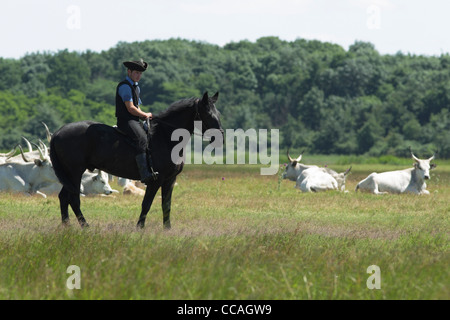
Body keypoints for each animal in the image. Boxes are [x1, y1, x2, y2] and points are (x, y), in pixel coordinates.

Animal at [50, 91, 222, 229]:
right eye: (208, 114)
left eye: (218, 114)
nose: (220, 138)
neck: (165, 137)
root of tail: (58, 132)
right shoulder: (156, 180)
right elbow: (146, 204)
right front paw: (140, 227)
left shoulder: (170, 180)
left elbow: (166, 205)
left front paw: (167, 229)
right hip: (75, 173)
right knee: (73, 198)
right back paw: (85, 226)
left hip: (69, 175)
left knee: (64, 197)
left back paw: (67, 226)